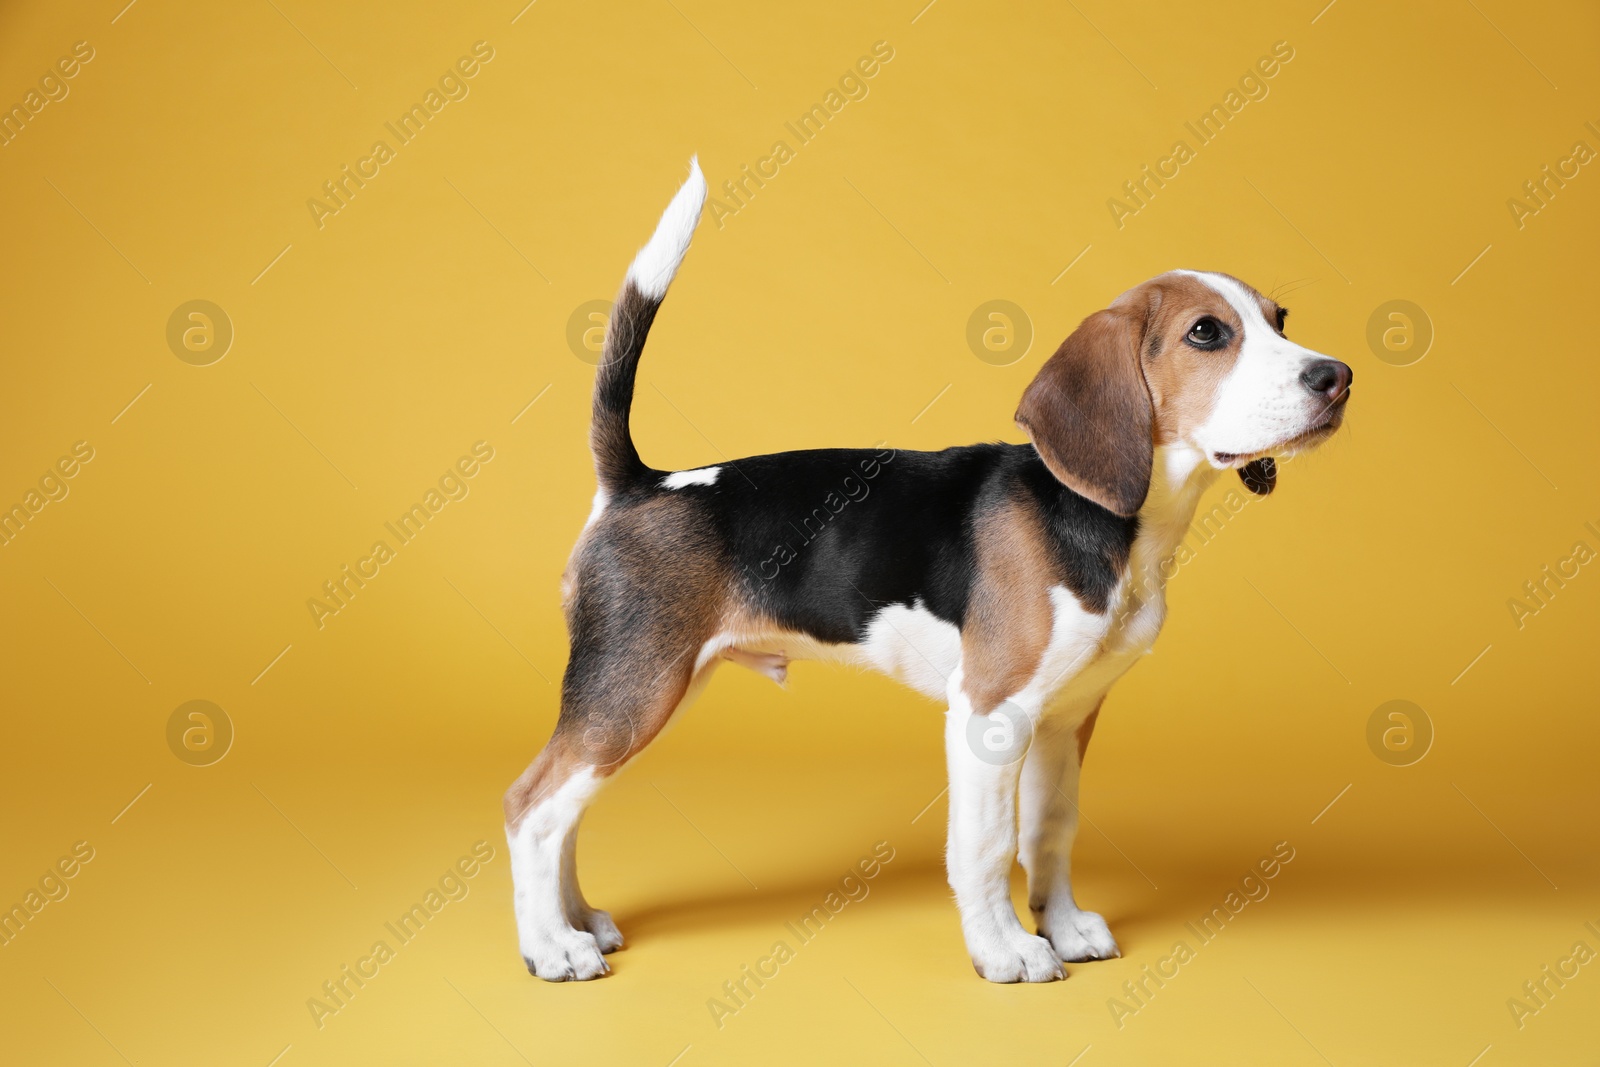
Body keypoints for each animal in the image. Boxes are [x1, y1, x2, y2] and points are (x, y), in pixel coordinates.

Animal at [502, 158, 1350, 985]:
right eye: (1207, 332)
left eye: (1280, 319)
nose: (1337, 376)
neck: (1116, 523)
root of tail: (641, 482)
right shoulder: (990, 712)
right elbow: (987, 846)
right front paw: (1006, 950)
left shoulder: (1067, 716)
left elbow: (1050, 830)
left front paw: (1064, 925)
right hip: (635, 686)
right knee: (532, 806)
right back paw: (551, 946)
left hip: (633, 693)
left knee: (565, 809)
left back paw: (579, 921)